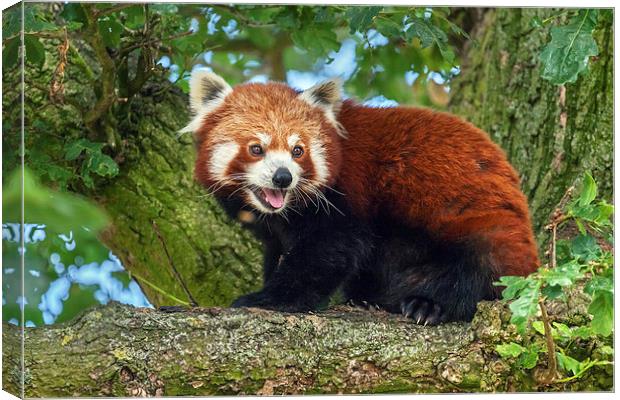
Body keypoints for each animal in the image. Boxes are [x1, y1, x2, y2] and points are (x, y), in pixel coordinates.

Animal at [183, 70, 536, 324]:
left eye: (298, 151)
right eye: (257, 148)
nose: (283, 177)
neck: (286, 211)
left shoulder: (347, 193)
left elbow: (328, 251)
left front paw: (270, 299)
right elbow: (281, 252)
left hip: (486, 220)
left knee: (476, 267)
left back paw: (429, 305)